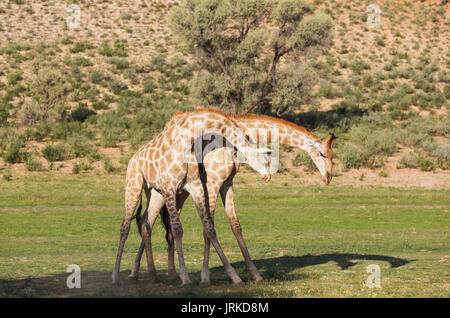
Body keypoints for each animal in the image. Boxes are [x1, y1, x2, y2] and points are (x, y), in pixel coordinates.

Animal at [111, 109, 270, 286]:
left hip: (156, 193)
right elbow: (179, 229)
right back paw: (116, 276)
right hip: (135, 185)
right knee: (126, 227)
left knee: (146, 224)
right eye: (266, 159)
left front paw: (240, 275)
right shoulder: (186, 186)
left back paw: (151, 273)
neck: (188, 140)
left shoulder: (201, 186)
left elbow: (213, 227)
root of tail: (133, 158)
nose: (268, 177)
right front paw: (192, 277)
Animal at [128, 111, 336, 284]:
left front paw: (255, 274)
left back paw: (162, 272)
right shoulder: (212, 183)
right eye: (322, 154)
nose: (328, 177)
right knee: (151, 222)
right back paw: (142, 272)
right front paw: (206, 276)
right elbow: (208, 227)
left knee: (157, 223)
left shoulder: (226, 184)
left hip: (179, 193)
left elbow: (235, 225)